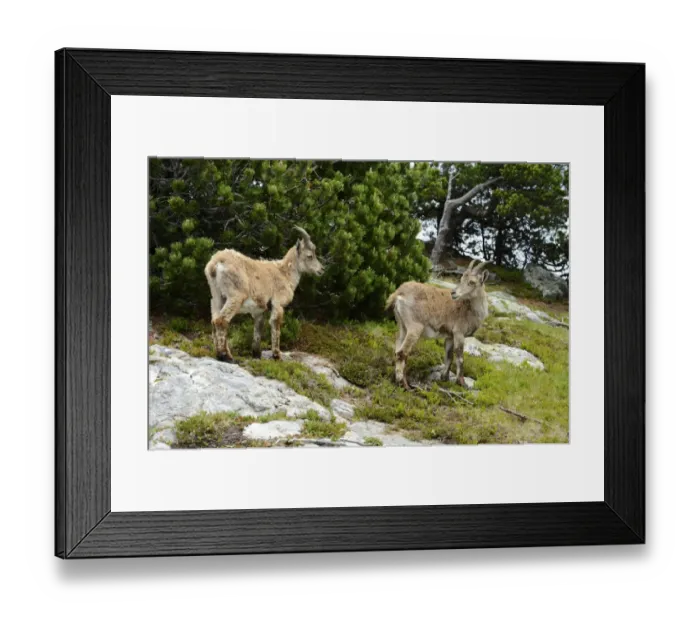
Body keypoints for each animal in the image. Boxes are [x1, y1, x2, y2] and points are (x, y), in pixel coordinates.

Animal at [205, 226, 324, 361]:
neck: (285, 274)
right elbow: (275, 324)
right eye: (310, 256)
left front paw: (256, 354)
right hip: (235, 296)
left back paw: (221, 353)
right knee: (221, 320)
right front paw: (277, 355)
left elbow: (258, 328)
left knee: (214, 320)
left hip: (216, 297)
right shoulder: (278, 303)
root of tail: (215, 264)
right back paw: (225, 356)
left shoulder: (259, 310)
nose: (321, 269)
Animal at [385, 259, 490, 389]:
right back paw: (404, 385)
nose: (453, 293)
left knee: (398, 350)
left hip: (402, 326)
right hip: (415, 327)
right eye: (461, 279)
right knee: (402, 353)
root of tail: (399, 293)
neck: (470, 309)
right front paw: (462, 383)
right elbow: (460, 358)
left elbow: (449, 356)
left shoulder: (450, 336)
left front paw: (444, 378)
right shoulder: (459, 333)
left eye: (472, 282)